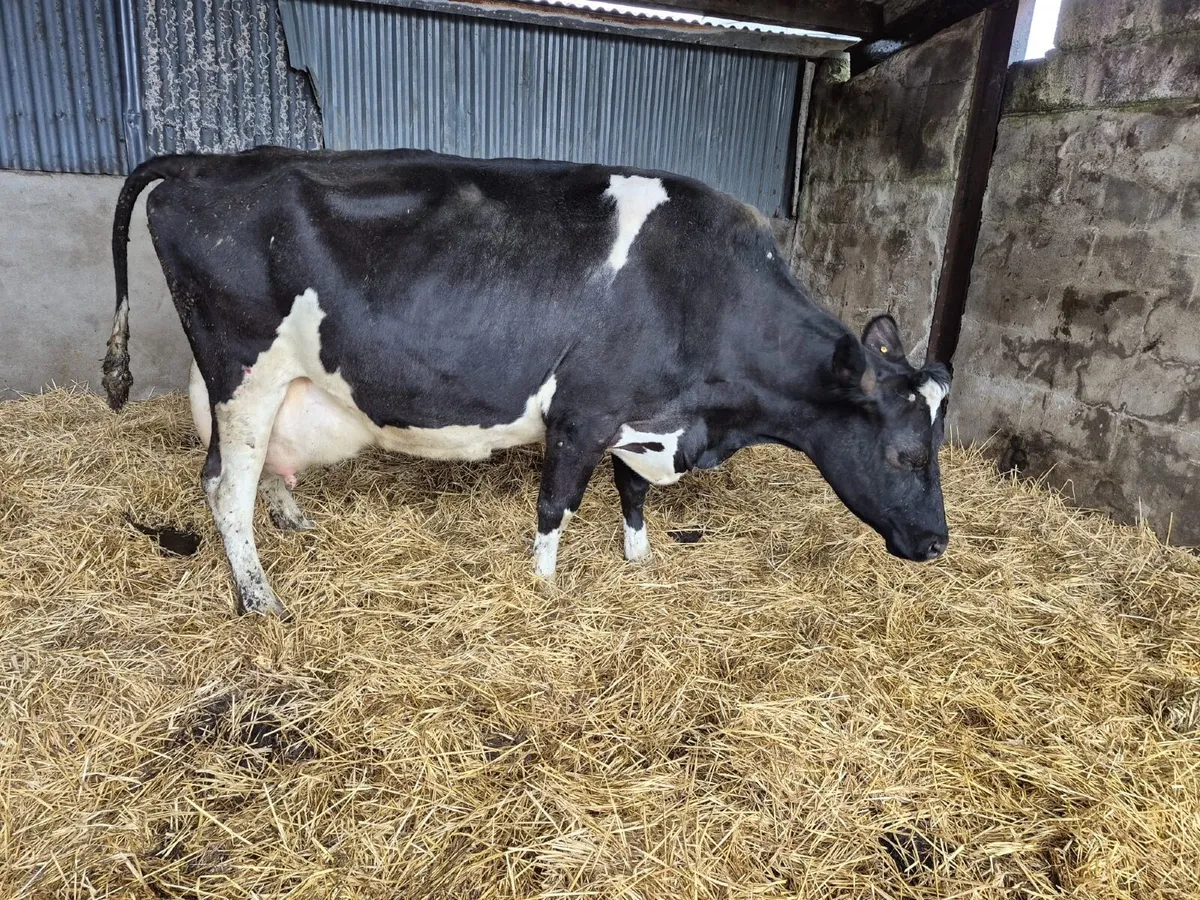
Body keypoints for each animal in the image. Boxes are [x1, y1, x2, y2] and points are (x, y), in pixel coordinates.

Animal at [104, 147, 952, 618]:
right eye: (906, 454)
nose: (939, 543)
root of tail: (213, 161)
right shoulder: (583, 413)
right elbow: (555, 508)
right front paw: (543, 588)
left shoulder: (641, 418)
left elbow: (632, 496)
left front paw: (640, 563)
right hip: (243, 372)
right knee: (224, 488)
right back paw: (259, 600)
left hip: (275, 381)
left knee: (253, 470)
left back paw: (292, 520)